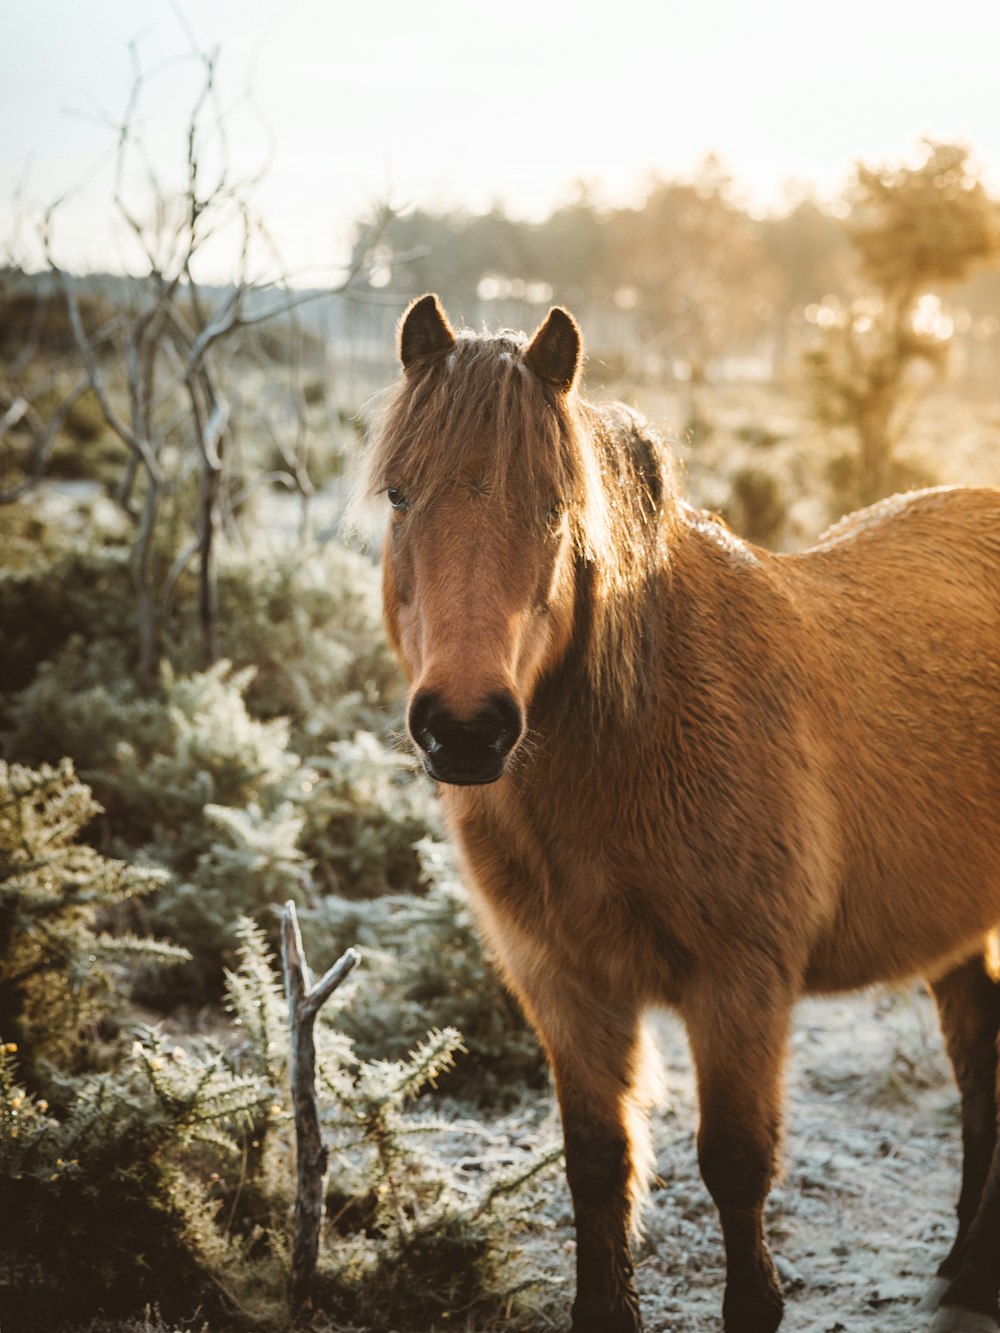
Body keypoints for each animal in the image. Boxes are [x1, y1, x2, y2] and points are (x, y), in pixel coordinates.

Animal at [357, 294, 1000, 1333]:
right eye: (400, 496)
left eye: (554, 505)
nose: (464, 728)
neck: (634, 741)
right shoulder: (566, 986)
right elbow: (597, 1163)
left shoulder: (740, 986)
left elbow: (734, 1165)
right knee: (978, 1051)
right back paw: (963, 1265)